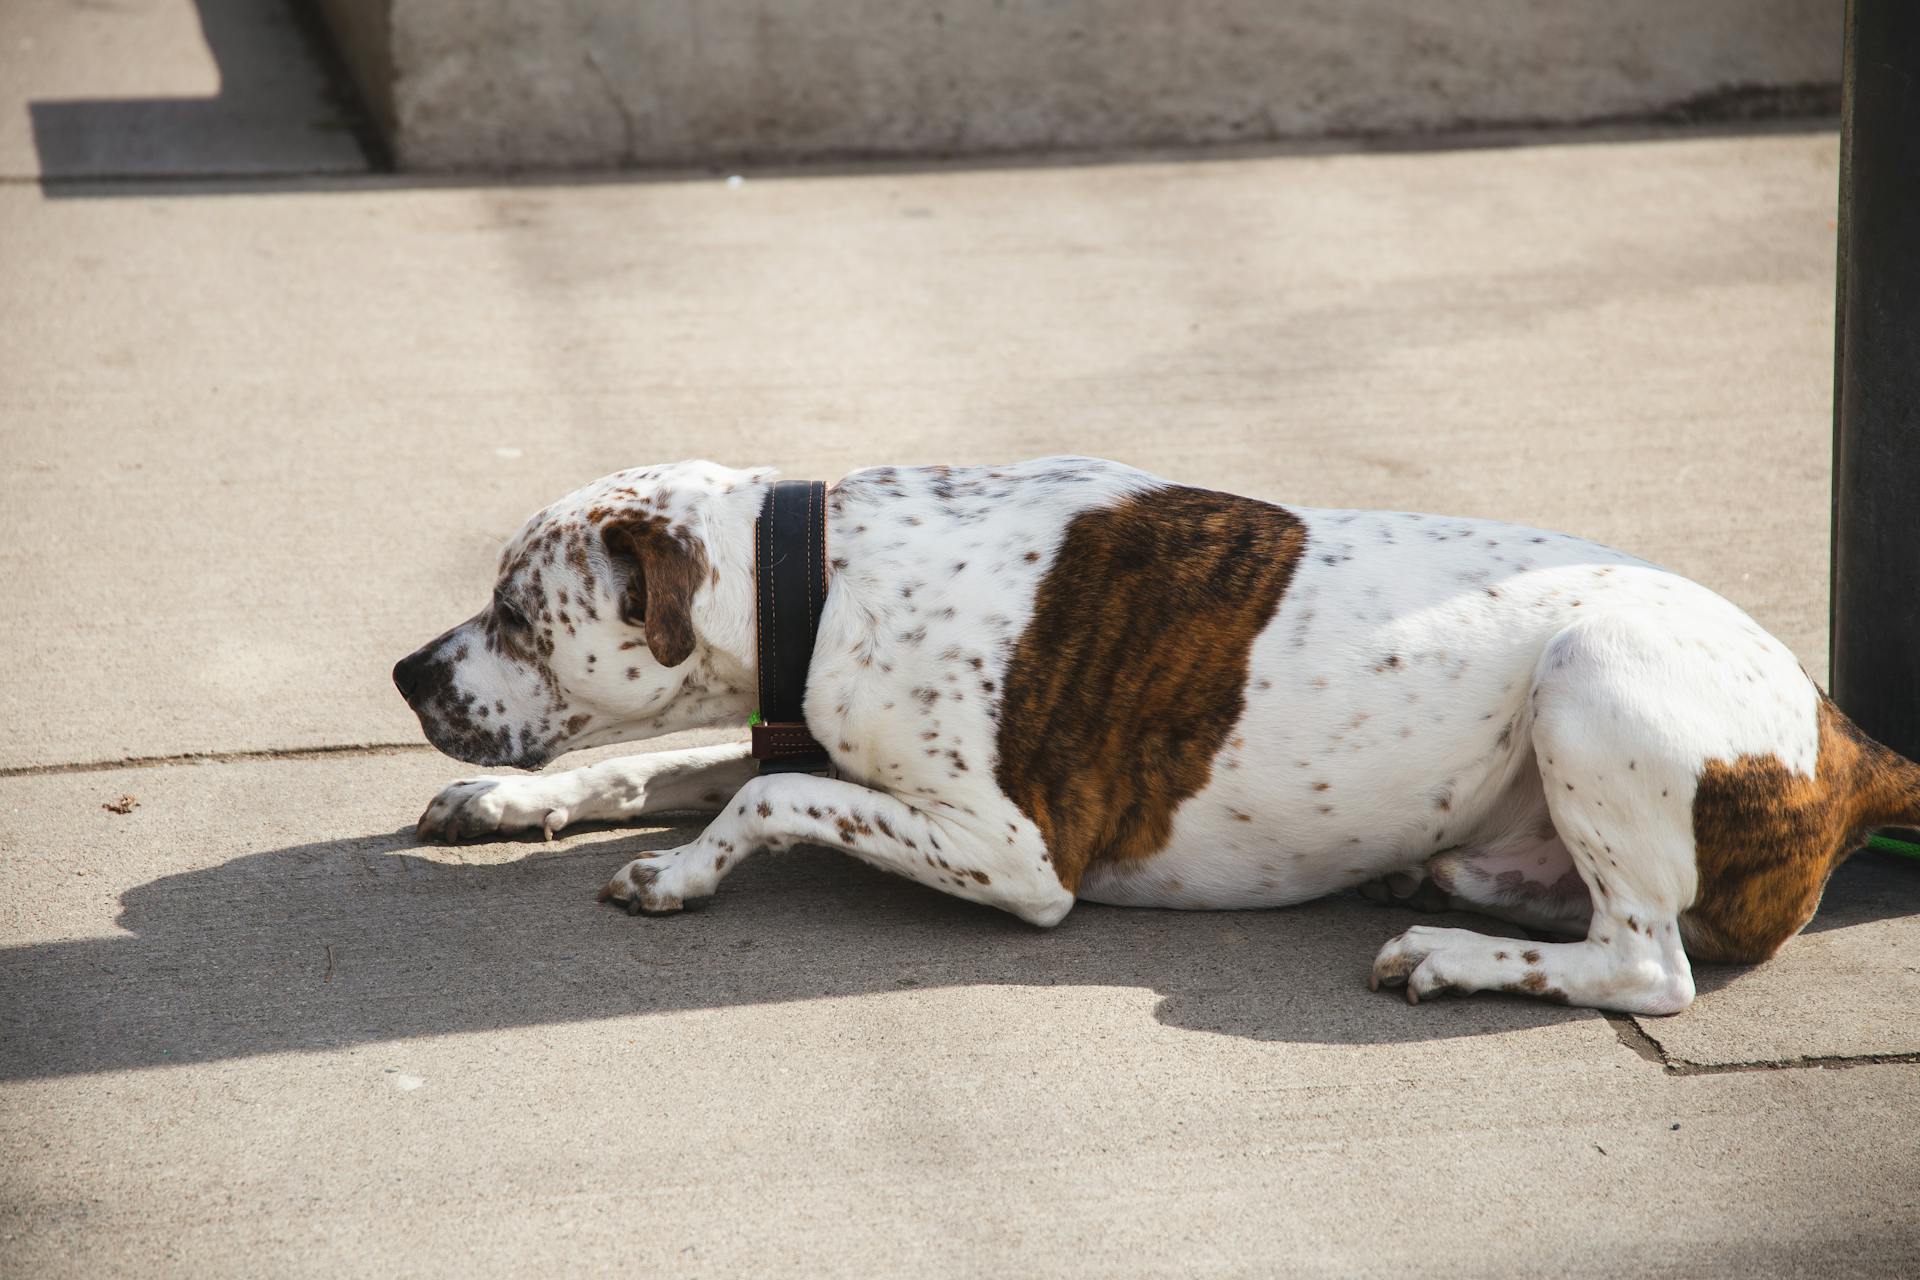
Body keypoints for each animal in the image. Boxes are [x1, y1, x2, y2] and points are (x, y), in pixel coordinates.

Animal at [393, 454, 1920, 1013]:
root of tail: (1849, 737)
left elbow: (758, 803)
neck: (819, 573)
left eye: (518, 611)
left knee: (1649, 963)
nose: (406, 672)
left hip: (1585, 674)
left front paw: (681, 872)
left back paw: (1450, 952)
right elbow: (656, 763)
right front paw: (512, 812)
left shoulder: (1017, 854)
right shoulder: (797, 732)